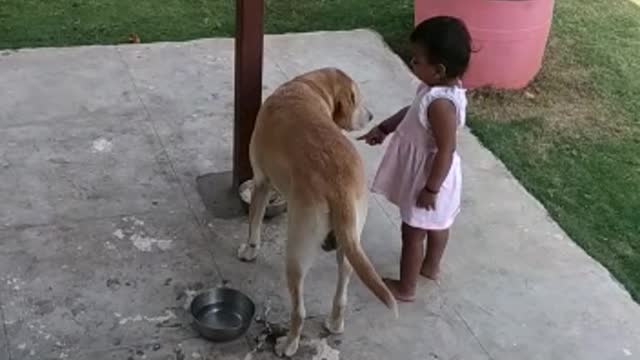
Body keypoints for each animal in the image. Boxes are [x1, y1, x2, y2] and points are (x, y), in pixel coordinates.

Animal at [238, 68, 398, 358]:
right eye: (357, 99)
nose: (371, 116)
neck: (308, 87)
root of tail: (338, 185)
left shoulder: (262, 182)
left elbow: (254, 222)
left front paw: (249, 250)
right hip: (350, 247)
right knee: (341, 294)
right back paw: (334, 324)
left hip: (296, 252)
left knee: (299, 310)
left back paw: (289, 344)